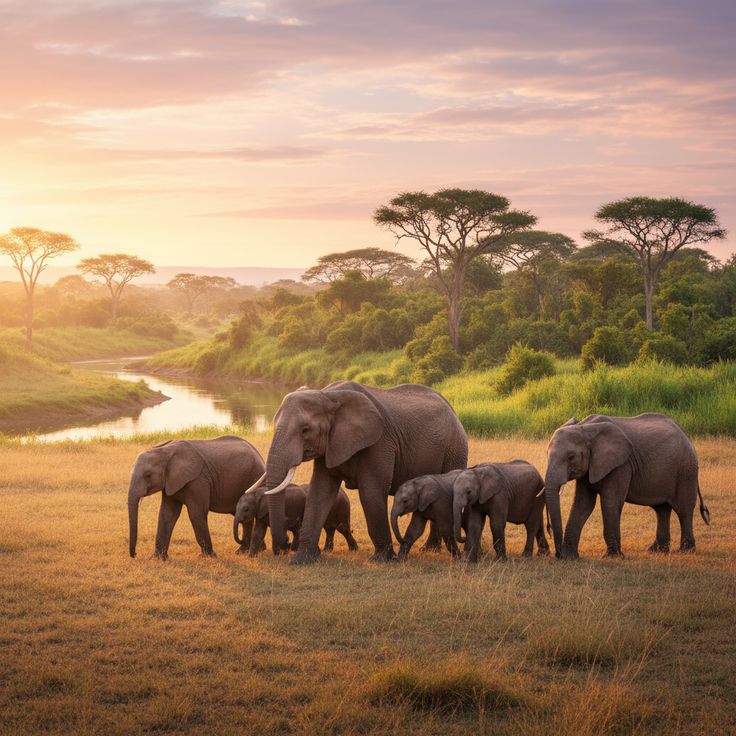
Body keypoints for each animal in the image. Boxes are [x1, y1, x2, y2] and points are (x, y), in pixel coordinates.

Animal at [127, 435, 265, 560]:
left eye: (148, 475)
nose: (135, 555)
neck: (164, 451)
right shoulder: (170, 482)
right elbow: (167, 514)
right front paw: (158, 559)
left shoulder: (198, 481)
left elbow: (196, 514)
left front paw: (209, 557)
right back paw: (252, 550)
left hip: (255, 476)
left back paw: (247, 551)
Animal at [245, 380, 468, 564]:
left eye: (305, 430)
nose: (286, 543)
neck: (327, 395)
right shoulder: (331, 444)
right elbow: (320, 492)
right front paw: (301, 560)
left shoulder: (379, 442)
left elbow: (370, 493)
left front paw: (382, 559)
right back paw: (428, 549)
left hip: (455, 447)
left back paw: (429, 549)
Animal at [544, 413, 710, 559]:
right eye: (547, 454)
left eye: (571, 457)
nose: (558, 554)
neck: (585, 428)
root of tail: (685, 433)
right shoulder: (590, 467)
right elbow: (583, 504)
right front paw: (570, 557)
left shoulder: (621, 465)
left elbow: (610, 503)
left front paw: (612, 557)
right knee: (662, 510)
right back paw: (656, 550)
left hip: (686, 470)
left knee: (684, 510)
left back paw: (686, 551)